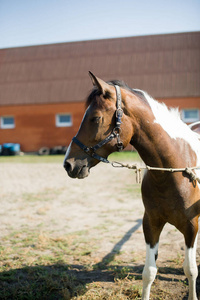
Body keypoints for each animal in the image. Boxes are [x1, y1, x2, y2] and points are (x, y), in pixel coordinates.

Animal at [63, 72, 199, 300]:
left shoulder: (191, 226)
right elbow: (149, 272)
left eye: (95, 118)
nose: (68, 164)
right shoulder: (150, 224)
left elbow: (190, 270)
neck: (175, 170)